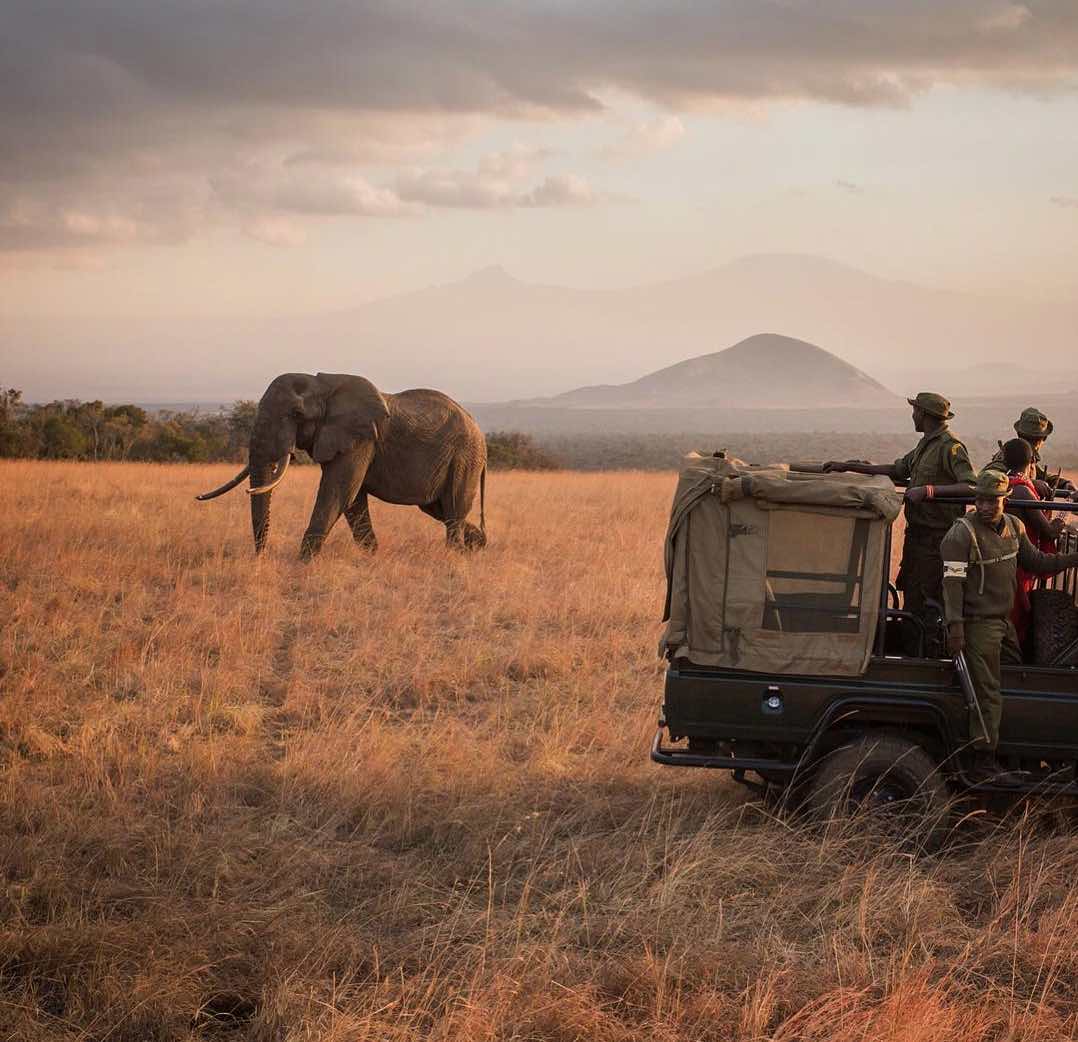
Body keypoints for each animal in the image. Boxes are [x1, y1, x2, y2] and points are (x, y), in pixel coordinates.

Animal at [197, 372, 486, 558]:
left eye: (297, 414)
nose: (260, 558)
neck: (323, 385)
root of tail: (479, 430)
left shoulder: (361, 438)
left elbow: (338, 492)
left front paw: (303, 563)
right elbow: (352, 498)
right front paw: (372, 557)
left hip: (464, 458)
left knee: (453, 507)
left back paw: (455, 556)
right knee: (440, 509)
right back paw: (478, 546)